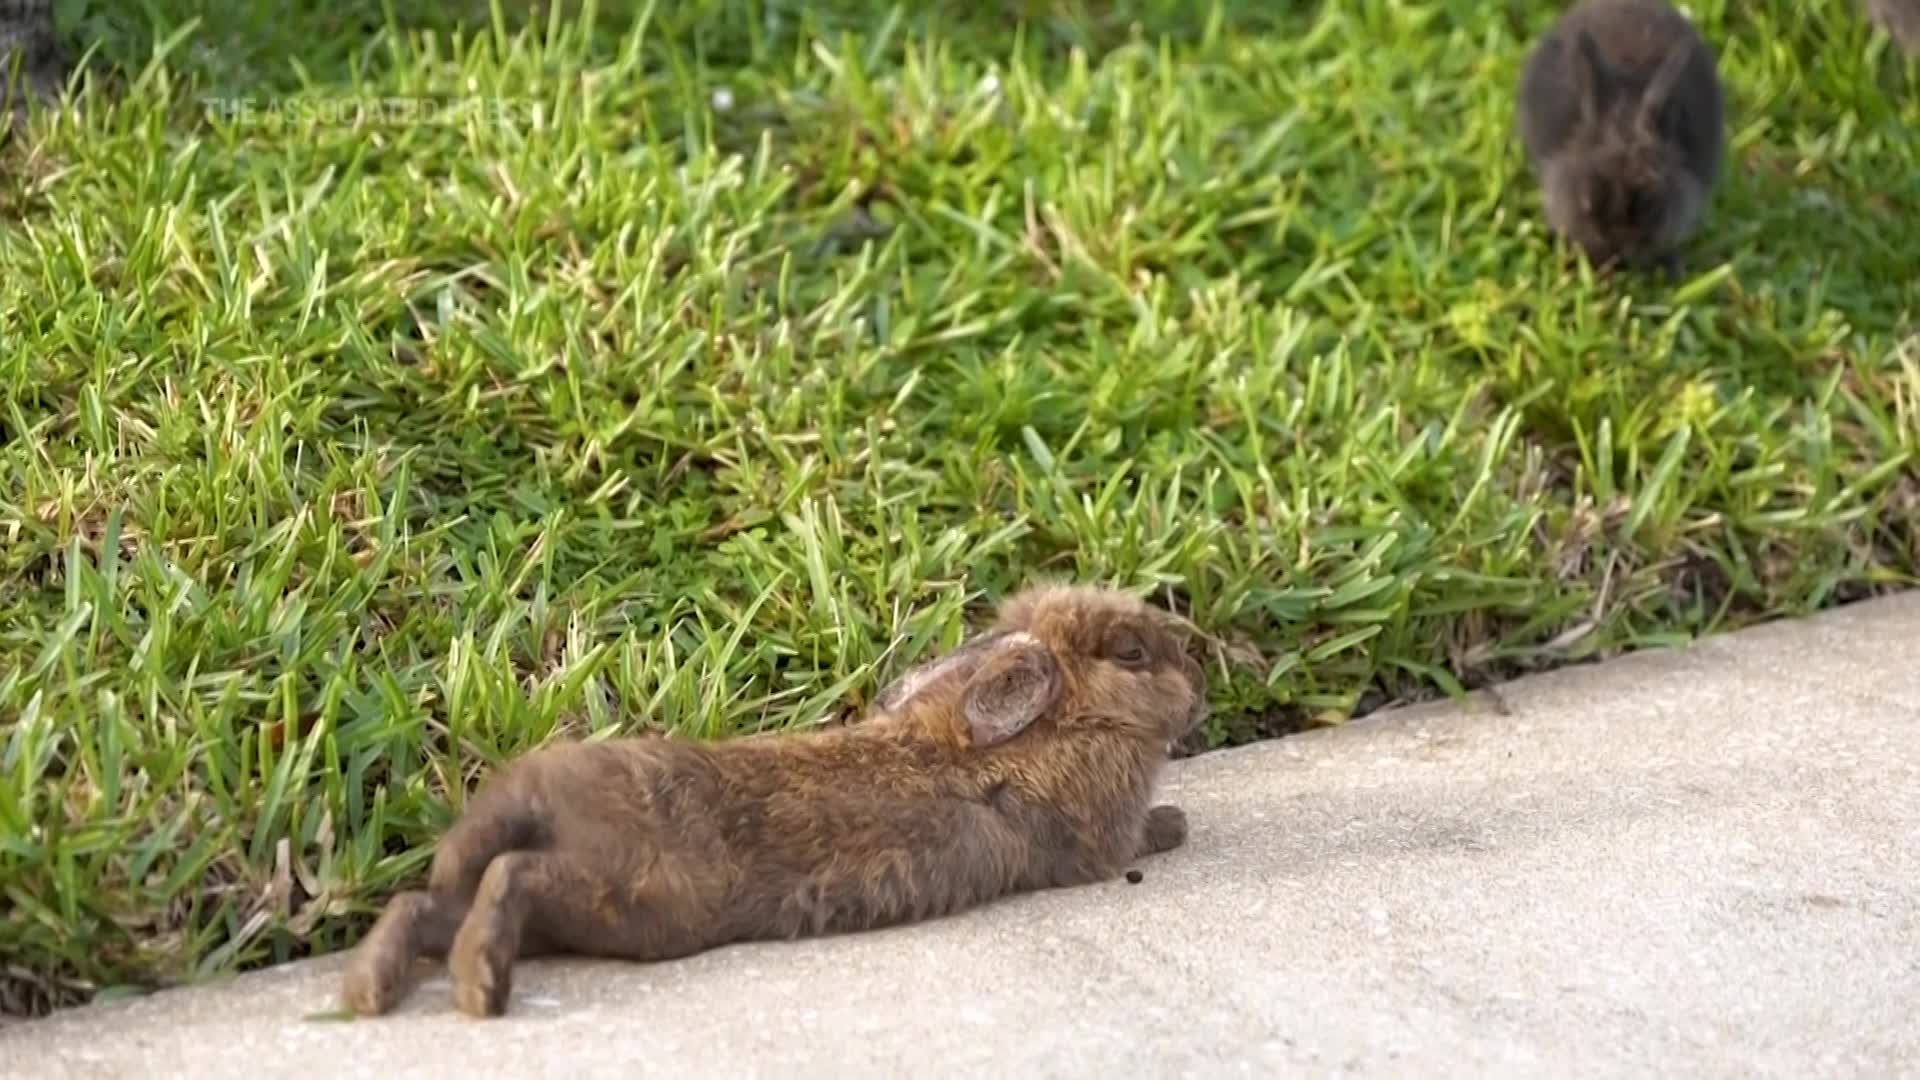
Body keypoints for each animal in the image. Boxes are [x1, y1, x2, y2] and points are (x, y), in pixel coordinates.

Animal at [339, 584, 1205, 1014]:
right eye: (1133, 653)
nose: (1199, 691)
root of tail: (530, 794)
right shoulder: (1096, 841)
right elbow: (1131, 841)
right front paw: (1177, 821)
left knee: (427, 905)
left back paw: (374, 988)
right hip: (638, 895)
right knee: (511, 876)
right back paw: (479, 988)